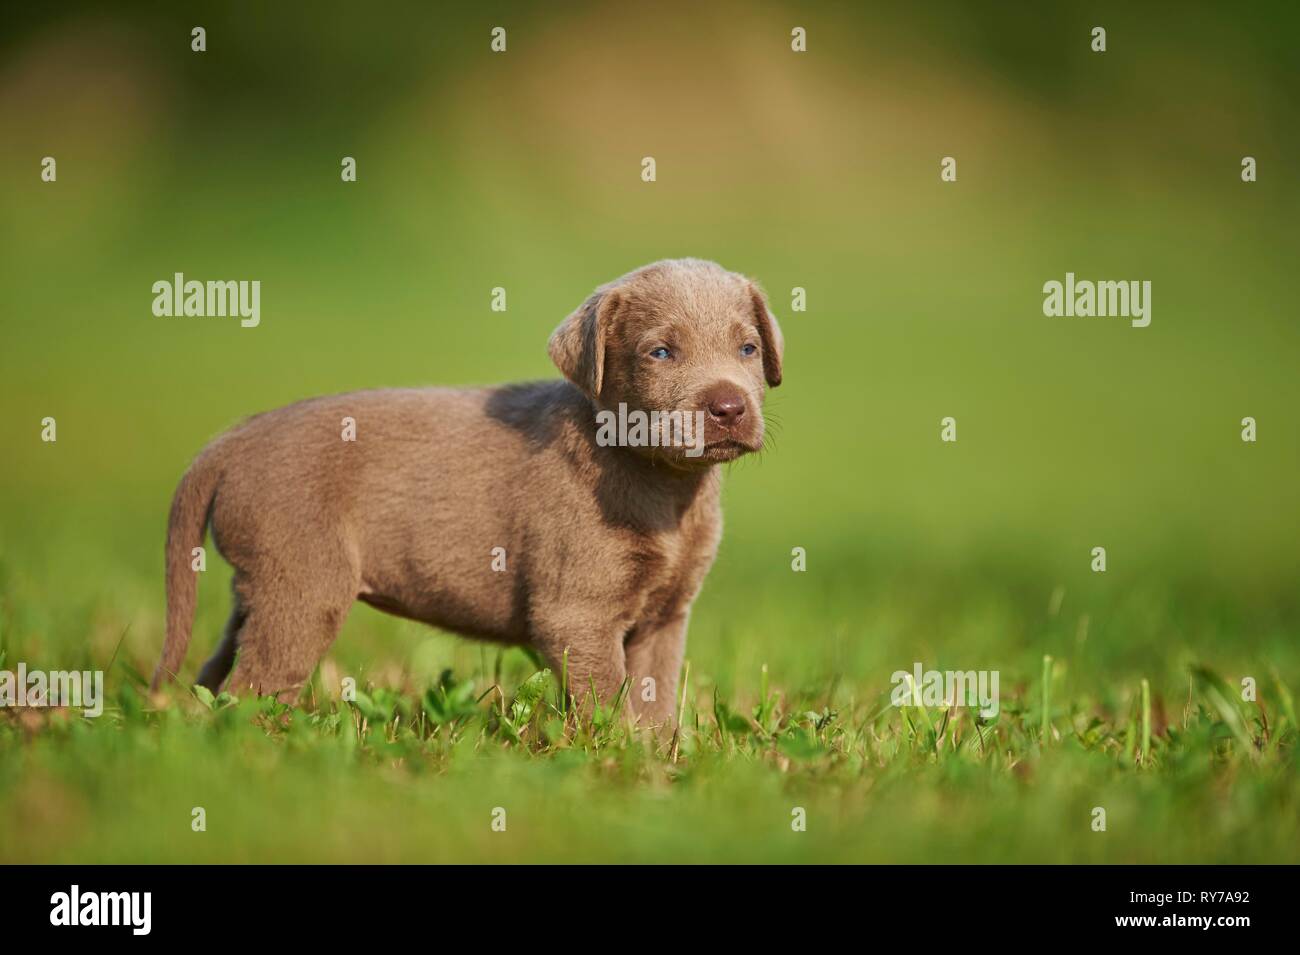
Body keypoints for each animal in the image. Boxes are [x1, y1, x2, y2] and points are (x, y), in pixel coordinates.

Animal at [152, 259, 780, 722]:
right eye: (661, 352)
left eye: (748, 349)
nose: (729, 407)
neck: (665, 486)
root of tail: (233, 440)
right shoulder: (577, 613)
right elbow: (607, 702)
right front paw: (615, 758)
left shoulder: (665, 619)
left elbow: (655, 704)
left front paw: (655, 762)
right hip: (303, 589)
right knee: (251, 687)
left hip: (258, 586)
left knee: (216, 674)